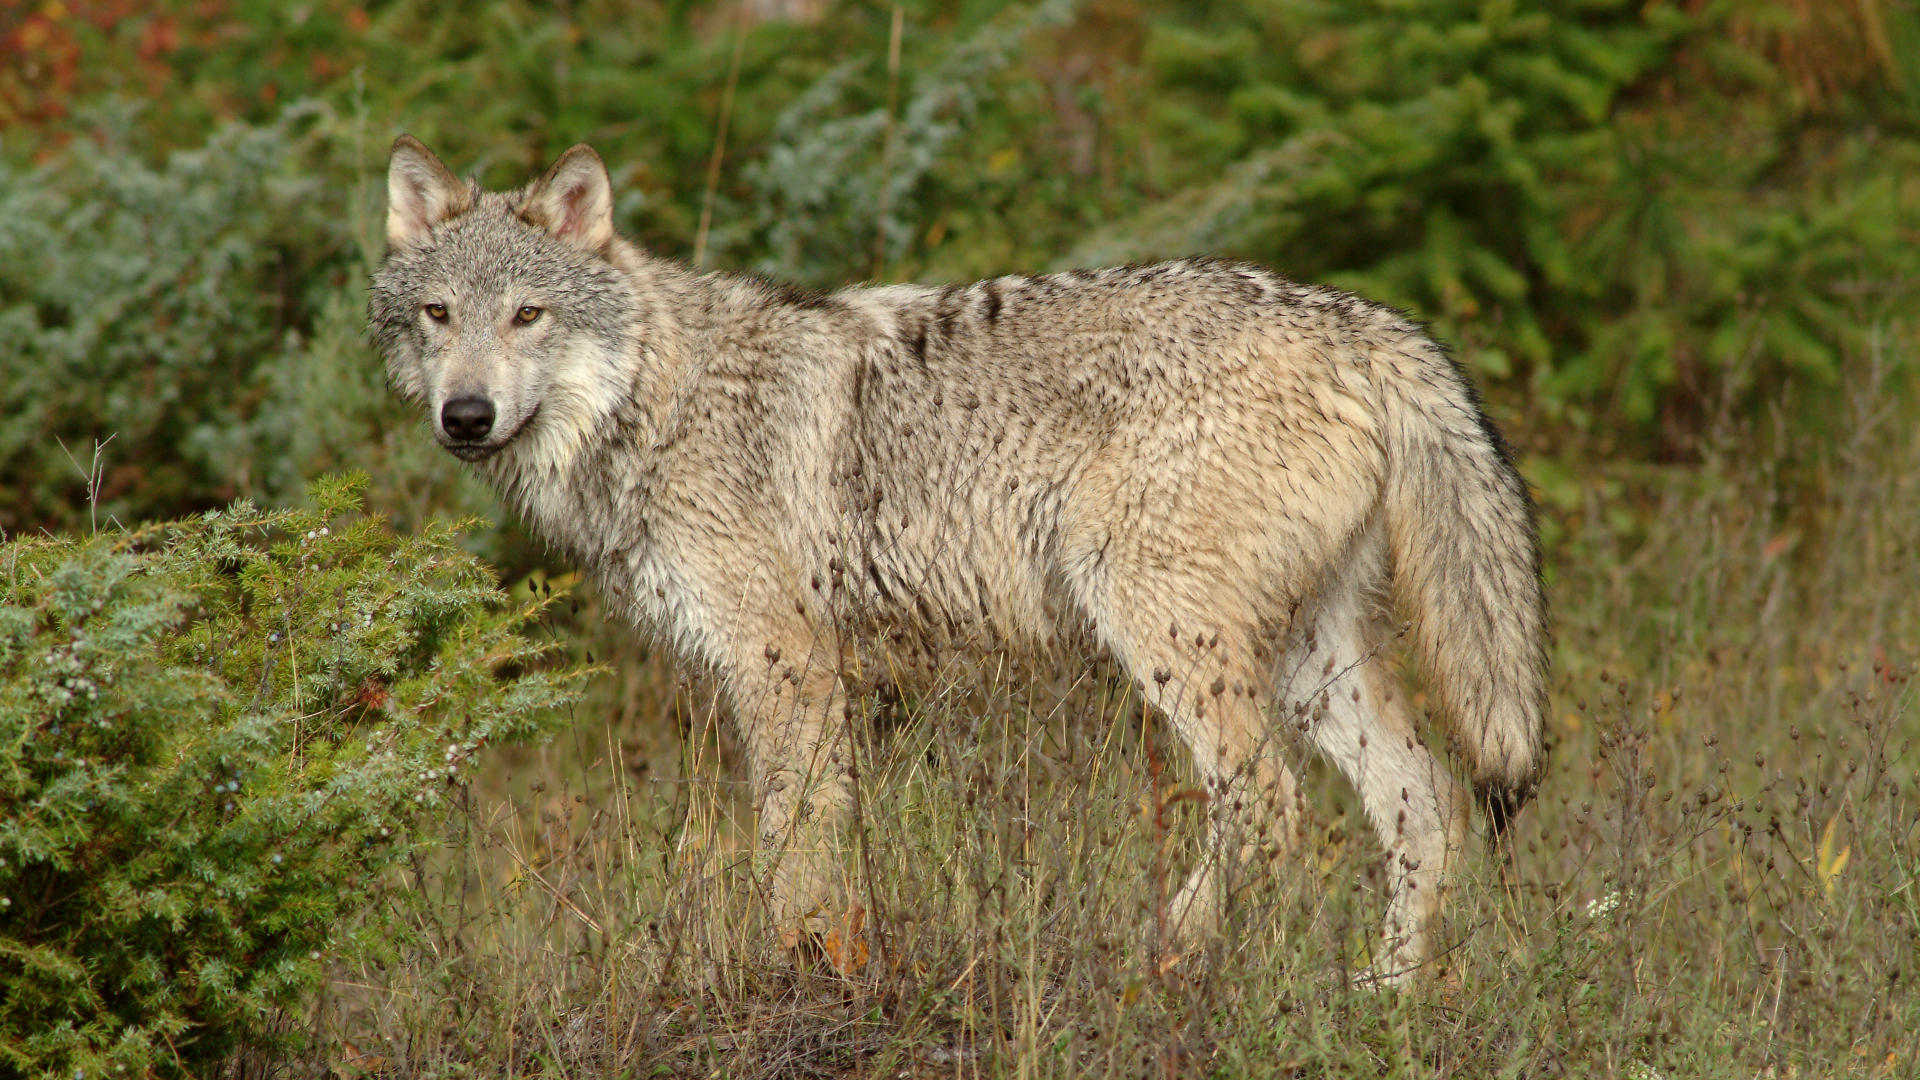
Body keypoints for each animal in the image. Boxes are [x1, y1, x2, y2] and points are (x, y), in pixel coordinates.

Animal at [370, 132, 1543, 976]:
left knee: (1269, 807)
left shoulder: (786, 666)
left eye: (529, 315)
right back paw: (1382, 1006)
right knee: (1428, 807)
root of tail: (1361, 319)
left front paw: (791, 970)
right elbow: (829, 851)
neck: (656, 403)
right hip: (1309, 665)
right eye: (439, 315)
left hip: (1165, 633)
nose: (465, 416)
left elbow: (791, 851)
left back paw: (1165, 957)